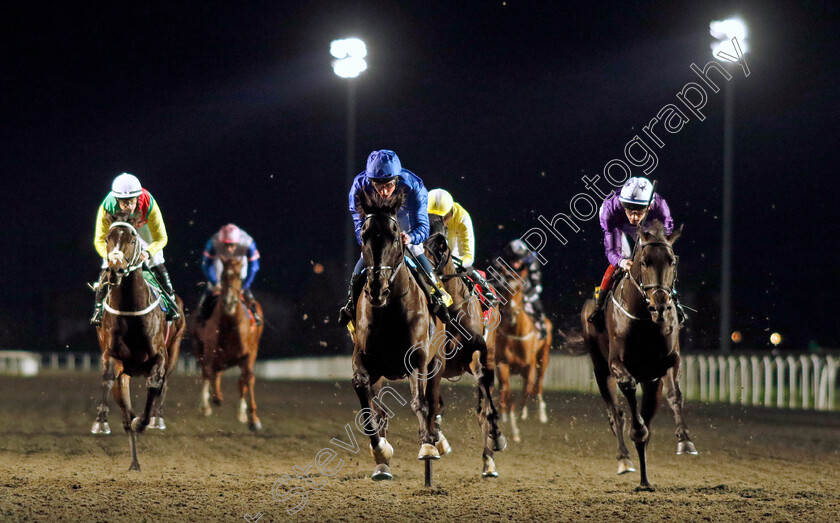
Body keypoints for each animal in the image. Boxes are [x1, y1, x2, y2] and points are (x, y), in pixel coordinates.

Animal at [91, 213, 185, 470]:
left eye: (132, 239)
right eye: (108, 238)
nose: (114, 268)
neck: (131, 310)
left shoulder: (159, 357)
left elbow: (154, 386)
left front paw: (145, 421)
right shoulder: (112, 357)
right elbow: (107, 380)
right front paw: (101, 421)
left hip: (175, 349)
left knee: (164, 384)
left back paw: (156, 419)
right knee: (124, 408)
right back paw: (134, 462)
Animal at [192, 256, 264, 432]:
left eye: (238, 276)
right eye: (223, 276)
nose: (229, 300)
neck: (229, 323)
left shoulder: (248, 354)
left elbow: (247, 379)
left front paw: (253, 419)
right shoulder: (210, 352)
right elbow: (209, 372)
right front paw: (213, 400)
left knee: (239, 380)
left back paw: (241, 412)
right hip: (201, 348)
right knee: (208, 373)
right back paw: (208, 404)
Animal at [352, 190, 446, 482]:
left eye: (395, 235)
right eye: (364, 236)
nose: (376, 288)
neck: (389, 310)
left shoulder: (418, 358)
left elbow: (420, 402)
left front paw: (427, 446)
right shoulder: (364, 360)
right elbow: (368, 405)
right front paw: (381, 451)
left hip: (437, 363)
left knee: (433, 402)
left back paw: (435, 441)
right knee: (379, 409)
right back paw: (382, 467)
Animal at [426, 214, 506, 478]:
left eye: (442, 243)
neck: (451, 308)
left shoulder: (477, 353)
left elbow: (486, 404)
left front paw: (496, 436)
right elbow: (435, 403)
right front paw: (438, 440)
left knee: (483, 404)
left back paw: (489, 460)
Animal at [584, 222, 696, 492]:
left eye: (672, 261)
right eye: (644, 261)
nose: (660, 306)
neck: (646, 320)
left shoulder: (669, 362)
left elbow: (675, 395)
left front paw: (685, 440)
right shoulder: (617, 365)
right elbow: (628, 400)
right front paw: (636, 434)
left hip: (651, 383)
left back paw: (645, 479)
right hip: (600, 369)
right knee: (616, 412)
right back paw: (625, 458)